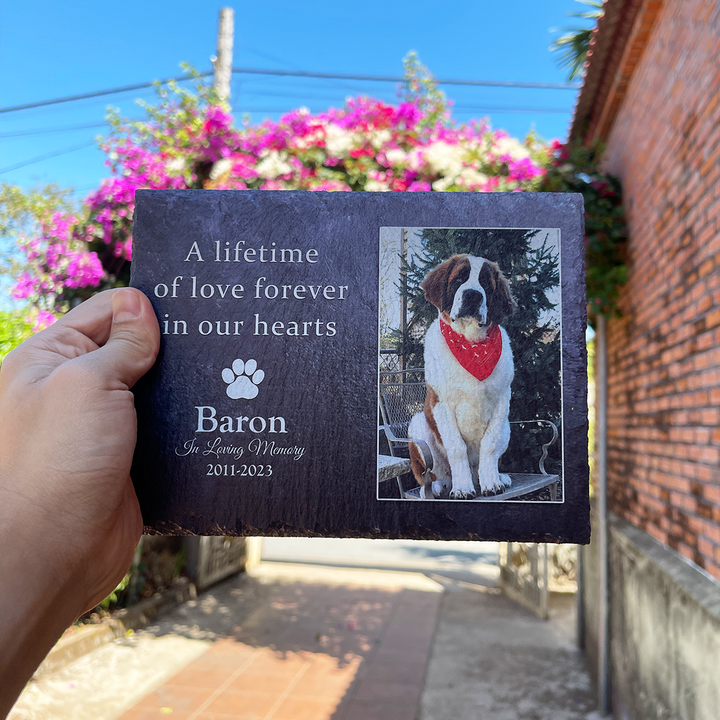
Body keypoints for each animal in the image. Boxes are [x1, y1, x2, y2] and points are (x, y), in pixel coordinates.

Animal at [408, 255, 516, 500]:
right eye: (459, 279)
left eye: (486, 284)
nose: (473, 295)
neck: (471, 343)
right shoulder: (442, 405)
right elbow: (457, 449)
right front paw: (463, 488)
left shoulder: (501, 401)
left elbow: (489, 444)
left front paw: (491, 483)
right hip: (418, 424)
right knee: (435, 473)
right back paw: (439, 487)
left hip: (507, 427)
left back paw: (497, 477)